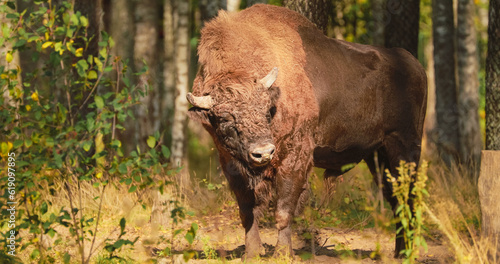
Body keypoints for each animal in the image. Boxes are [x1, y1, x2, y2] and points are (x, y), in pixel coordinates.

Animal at [186, 4, 428, 258]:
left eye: (266, 110)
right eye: (224, 117)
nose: (263, 152)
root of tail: (416, 66)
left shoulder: (295, 156)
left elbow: (284, 209)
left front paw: (283, 253)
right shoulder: (230, 162)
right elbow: (247, 211)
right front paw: (251, 253)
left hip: (404, 147)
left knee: (408, 197)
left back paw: (407, 253)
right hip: (377, 156)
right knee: (396, 198)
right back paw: (400, 252)